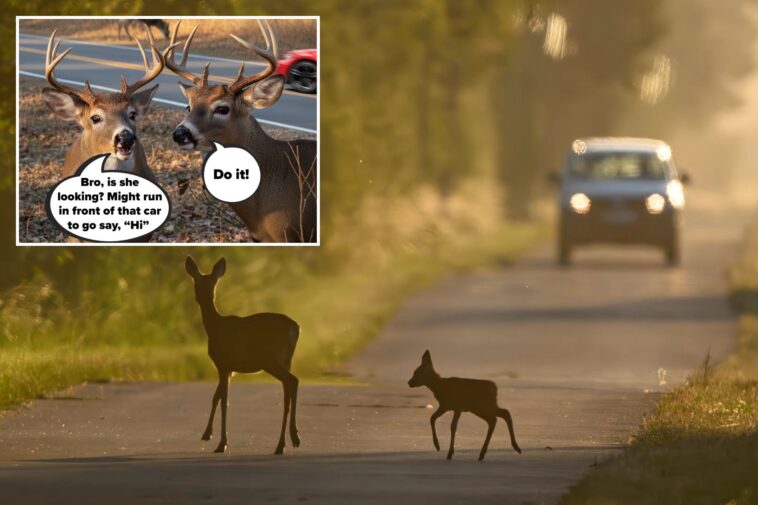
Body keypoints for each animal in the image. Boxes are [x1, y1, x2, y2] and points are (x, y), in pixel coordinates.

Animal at [184, 256, 301, 454]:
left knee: (292, 381)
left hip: (270, 359)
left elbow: (224, 402)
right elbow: (216, 397)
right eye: (198, 282)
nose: (200, 298)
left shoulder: (223, 363)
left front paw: (222, 443)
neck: (215, 327)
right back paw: (285, 442)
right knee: (288, 391)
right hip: (287, 360)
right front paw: (207, 434)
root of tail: (295, 328)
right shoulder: (229, 369)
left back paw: (289, 441)